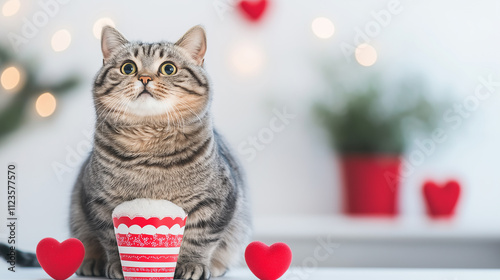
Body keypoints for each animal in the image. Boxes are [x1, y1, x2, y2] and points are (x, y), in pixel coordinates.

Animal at [70, 25, 250, 278]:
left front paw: (192, 264)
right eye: (128, 68)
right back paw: (92, 262)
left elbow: (199, 237)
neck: (149, 142)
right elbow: (110, 237)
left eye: (168, 68)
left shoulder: (216, 200)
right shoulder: (98, 200)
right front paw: (118, 265)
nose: (145, 77)